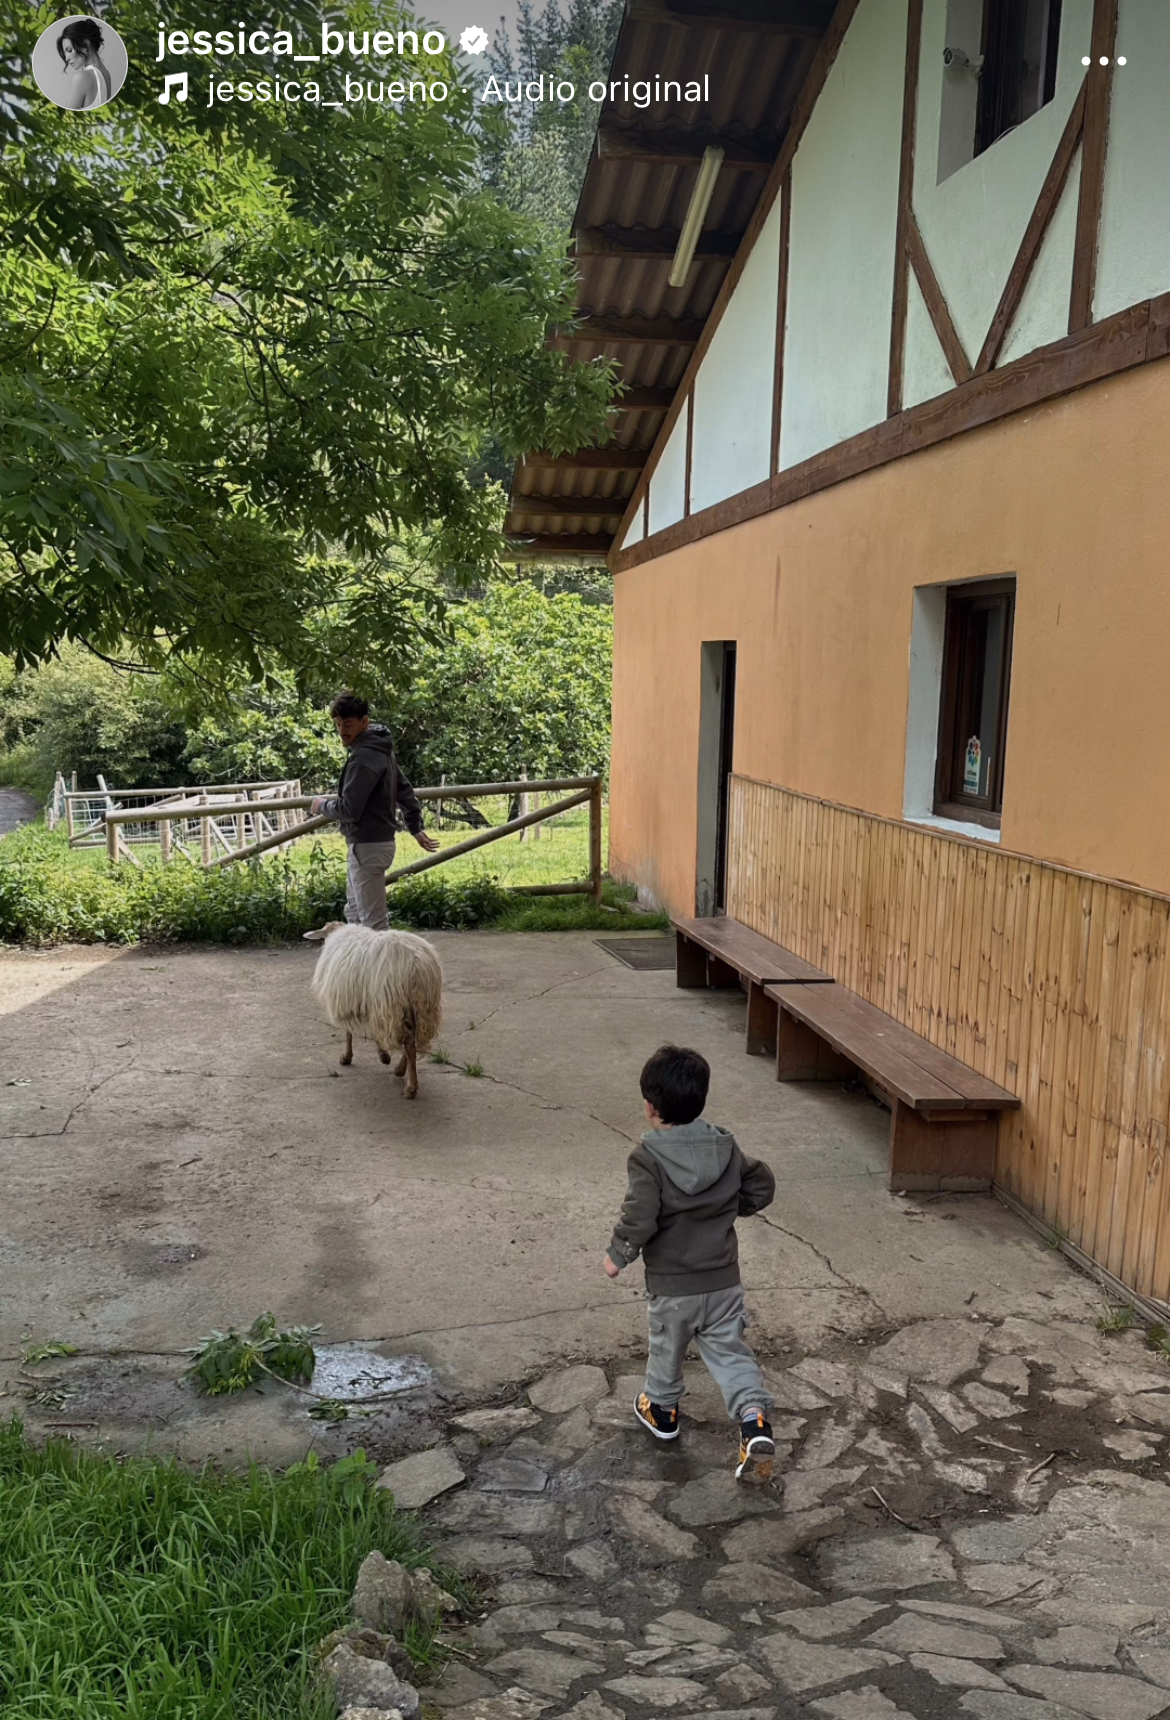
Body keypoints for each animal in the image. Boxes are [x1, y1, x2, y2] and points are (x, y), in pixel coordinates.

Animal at [301, 928, 443, 1100]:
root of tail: (417, 965)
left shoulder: (352, 1001)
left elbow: (349, 1032)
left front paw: (351, 1057)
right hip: (422, 1006)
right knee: (413, 1037)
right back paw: (401, 1070)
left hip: (390, 1003)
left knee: (408, 1041)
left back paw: (410, 1086)